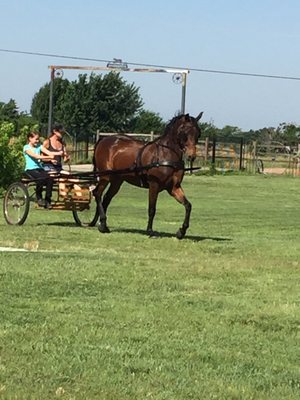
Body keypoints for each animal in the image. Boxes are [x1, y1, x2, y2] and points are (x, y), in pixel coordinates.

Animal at [92, 111, 203, 239]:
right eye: (185, 133)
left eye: (198, 133)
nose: (191, 156)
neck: (166, 154)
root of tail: (103, 140)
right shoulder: (154, 185)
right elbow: (152, 209)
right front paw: (150, 230)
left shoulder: (174, 188)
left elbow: (188, 206)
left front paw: (181, 231)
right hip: (105, 176)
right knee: (97, 193)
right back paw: (102, 222)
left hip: (117, 180)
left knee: (106, 198)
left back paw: (103, 225)